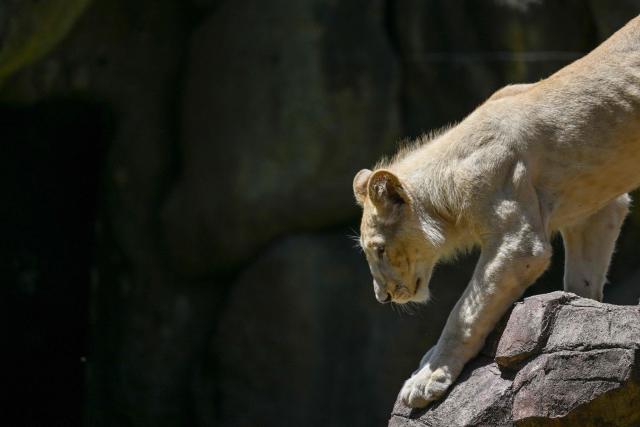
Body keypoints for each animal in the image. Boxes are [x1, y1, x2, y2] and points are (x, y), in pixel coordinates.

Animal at [353, 15, 640, 408]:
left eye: (380, 250)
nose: (382, 297)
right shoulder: (597, 209)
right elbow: (581, 280)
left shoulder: (517, 238)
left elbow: (465, 312)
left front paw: (427, 377)